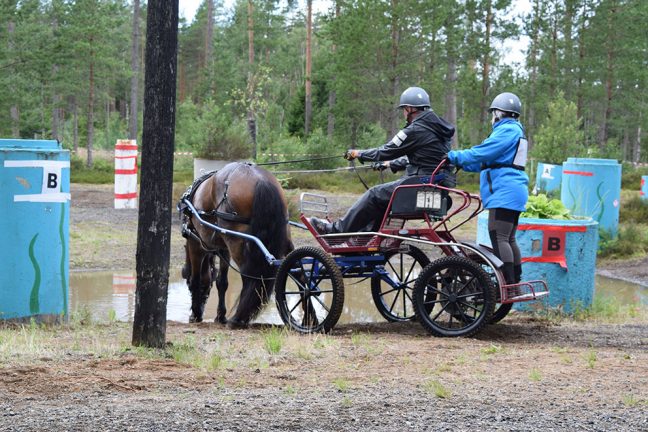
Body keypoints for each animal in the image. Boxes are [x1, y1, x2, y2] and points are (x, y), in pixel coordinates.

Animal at [181, 162, 294, 328]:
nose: (201, 308)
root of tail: (261, 180)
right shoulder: (223, 249)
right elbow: (222, 282)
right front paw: (220, 316)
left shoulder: (195, 243)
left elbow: (196, 280)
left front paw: (195, 314)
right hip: (283, 239)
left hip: (238, 244)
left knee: (249, 275)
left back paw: (238, 318)